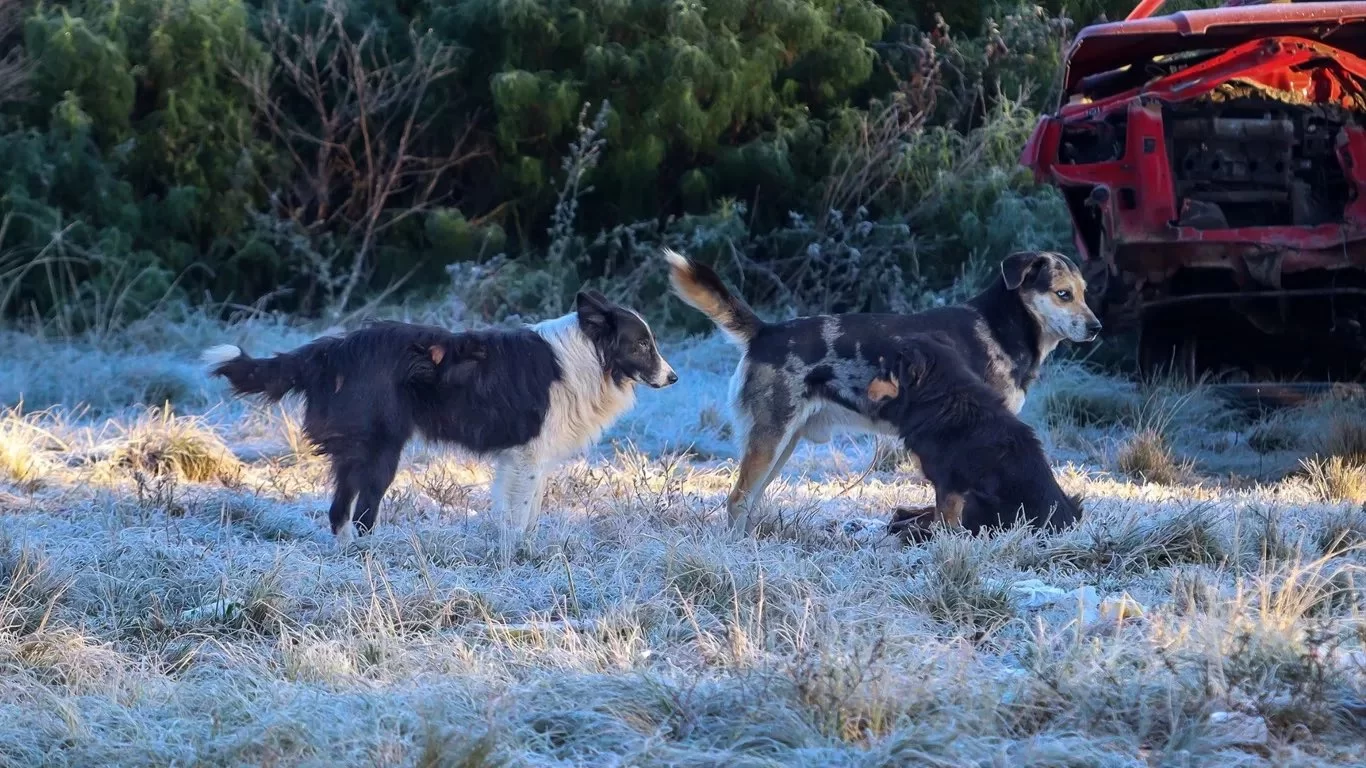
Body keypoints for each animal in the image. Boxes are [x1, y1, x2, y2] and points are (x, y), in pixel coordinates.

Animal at [199, 289, 674, 552]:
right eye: (642, 345)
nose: (674, 378)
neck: (589, 355)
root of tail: (335, 348)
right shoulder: (526, 458)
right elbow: (517, 517)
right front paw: (517, 556)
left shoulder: (529, 461)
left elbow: (530, 514)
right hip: (381, 452)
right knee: (359, 514)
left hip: (362, 454)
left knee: (339, 511)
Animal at [868, 333, 1081, 538]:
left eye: (884, 370)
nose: (866, 389)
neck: (938, 398)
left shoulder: (948, 485)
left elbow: (944, 521)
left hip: (975, 498)